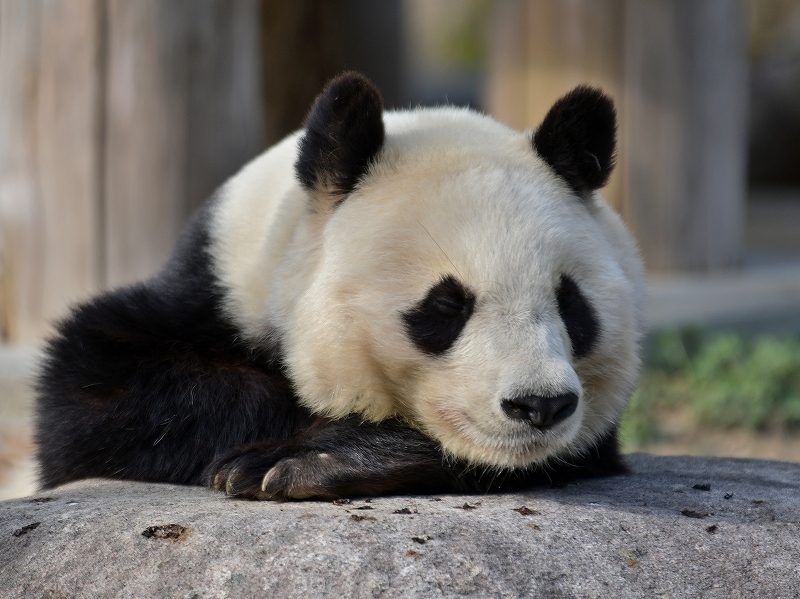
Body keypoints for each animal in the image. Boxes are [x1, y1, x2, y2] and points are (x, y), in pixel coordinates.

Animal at [36, 72, 644, 500]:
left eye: (571, 303)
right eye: (446, 306)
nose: (540, 405)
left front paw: (318, 461)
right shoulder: (215, 282)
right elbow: (95, 393)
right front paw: (282, 455)